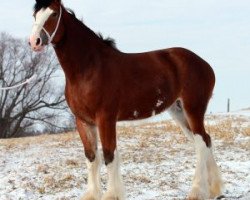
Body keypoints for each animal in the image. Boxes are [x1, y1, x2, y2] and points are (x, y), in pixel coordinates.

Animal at [28, 0, 223, 199]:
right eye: (35, 15)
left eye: (53, 14)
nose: (34, 41)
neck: (89, 69)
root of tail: (205, 64)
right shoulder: (83, 121)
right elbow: (91, 157)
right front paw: (92, 194)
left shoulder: (105, 118)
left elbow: (109, 155)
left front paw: (112, 194)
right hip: (178, 111)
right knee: (205, 140)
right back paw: (214, 189)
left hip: (193, 109)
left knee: (201, 143)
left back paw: (197, 191)